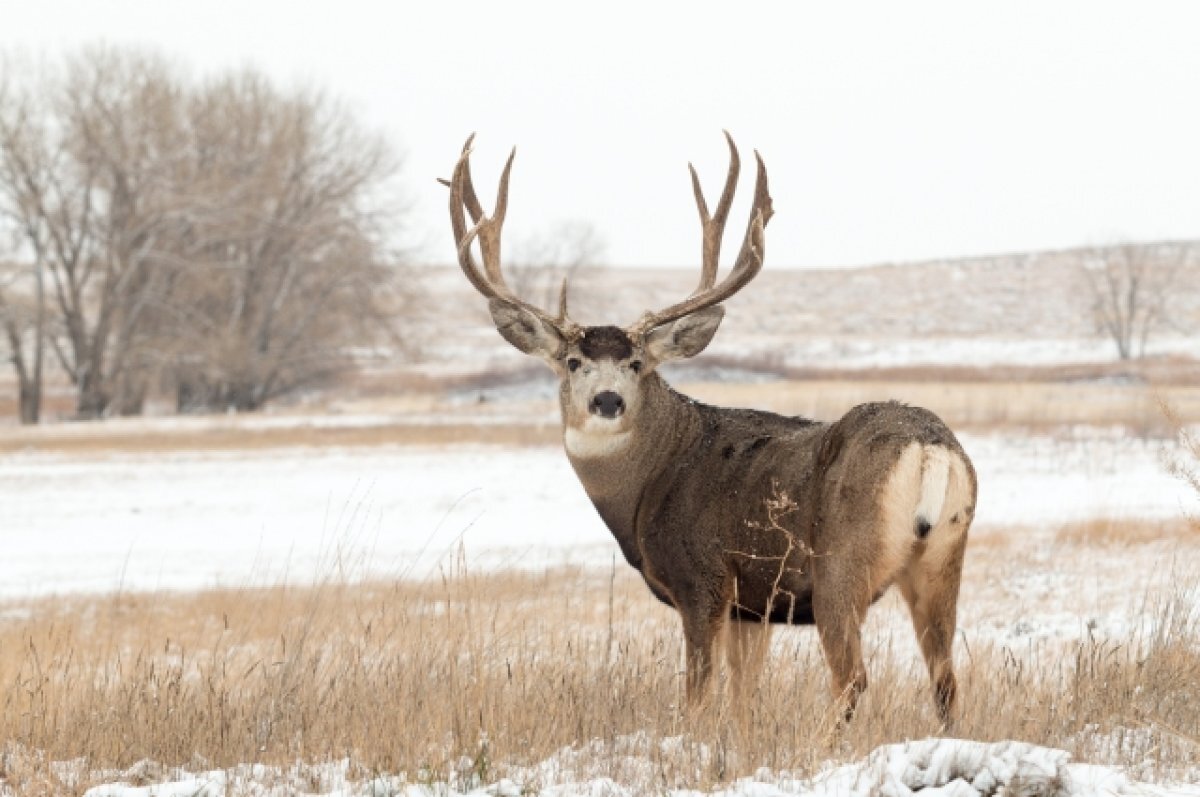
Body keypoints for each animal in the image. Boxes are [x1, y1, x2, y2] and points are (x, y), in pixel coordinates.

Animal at [441, 132, 974, 729]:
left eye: (637, 364)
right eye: (574, 362)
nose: (607, 401)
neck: (652, 481)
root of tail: (930, 448)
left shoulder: (704, 581)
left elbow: (698, 695)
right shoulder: (752, 605)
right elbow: (744, 696)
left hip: (840, 564)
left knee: (853, 679)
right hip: (943, 556)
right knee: (946, 679)